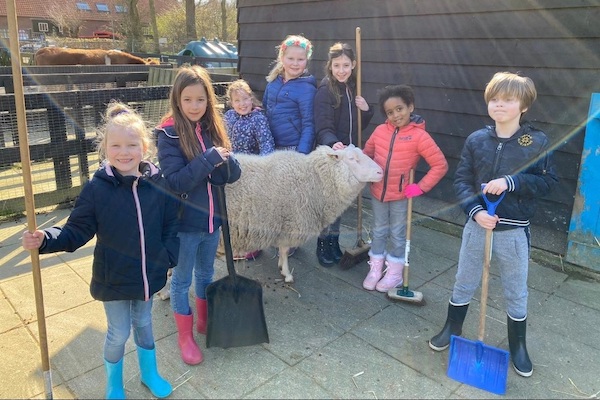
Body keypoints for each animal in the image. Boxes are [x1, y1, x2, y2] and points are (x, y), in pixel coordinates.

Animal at [225, 145, 384, 282]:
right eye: (352, 159)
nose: (381, 172)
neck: (313, 180)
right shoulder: (291, 225)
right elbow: (284, 251)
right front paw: (287, 274)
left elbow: (282, 251)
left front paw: (281, 267)